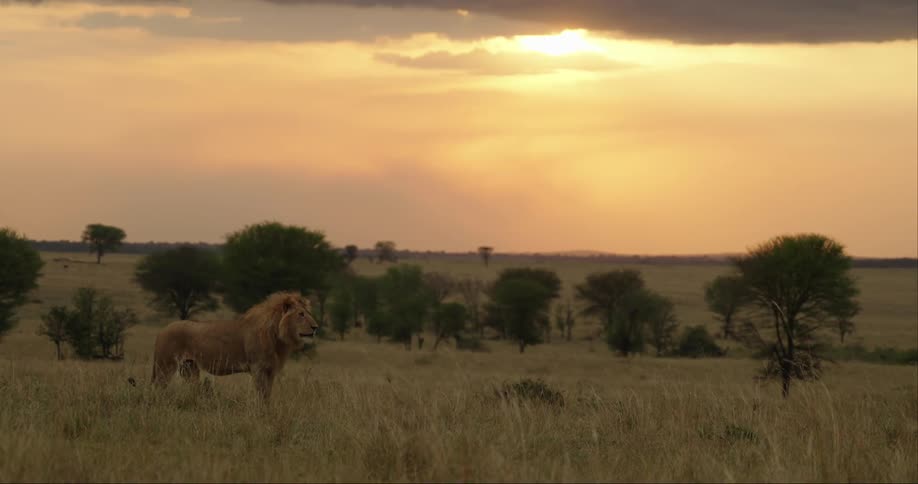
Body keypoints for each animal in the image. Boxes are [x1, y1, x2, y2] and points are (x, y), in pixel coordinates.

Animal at [151, 291, 318, 402]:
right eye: (301, 314)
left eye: (308, 313)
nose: (316, 327)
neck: (278, 336)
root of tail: (162, 331)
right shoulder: (258, 368)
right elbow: (261, 395)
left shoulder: (270, 370)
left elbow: (267, 396)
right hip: (165, 366)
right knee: (157, 388)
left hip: (190, 368)